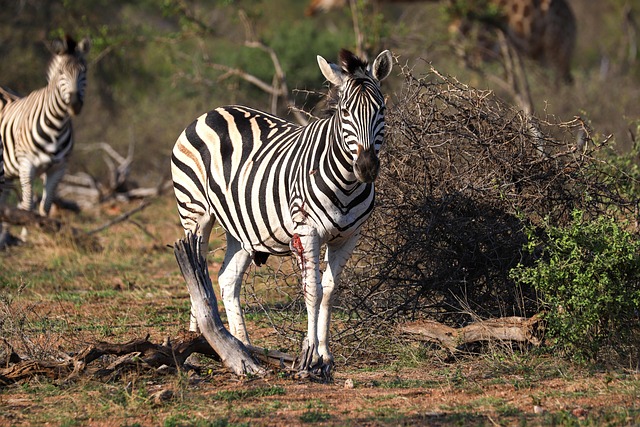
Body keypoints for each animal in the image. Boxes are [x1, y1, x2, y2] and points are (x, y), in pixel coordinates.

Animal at [0, 35, 90, 216]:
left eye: (84, 71)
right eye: (61, 72)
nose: (75, 104)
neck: (57, 126)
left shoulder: (59, 169)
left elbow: (45, 208)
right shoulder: (26, 166)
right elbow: (28, 207)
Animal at [172, 48, 393, 374]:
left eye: (381, 110)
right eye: (344, 113)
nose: (366, 168)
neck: (347, 183)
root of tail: (212, 112)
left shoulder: (348, 237)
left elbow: (329, 291)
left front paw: (325, 355)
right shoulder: (307, 231)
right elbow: (312, 290)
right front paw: (310, 356)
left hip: (242, 227)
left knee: (227, 280)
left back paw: (242, 347)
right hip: (194, 212)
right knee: (194, 274)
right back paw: (195, 346)